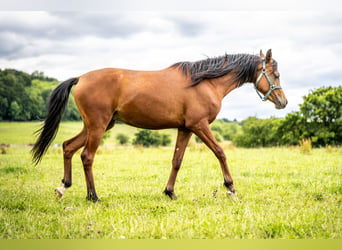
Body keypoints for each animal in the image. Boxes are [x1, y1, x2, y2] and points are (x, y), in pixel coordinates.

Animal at [31, 48, 286, 201]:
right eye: (276, 74)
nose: (283, 102)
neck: (205, 82)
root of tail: (81, 78)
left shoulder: (185, 128)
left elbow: (176, 161)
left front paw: (169, 192)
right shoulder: (200, 125)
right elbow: (220, 152)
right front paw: (231, 188)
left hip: (96, 126)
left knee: (68, 147)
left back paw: (63, 187)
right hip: (98, 126)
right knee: (86, 156)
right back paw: (93, 196)